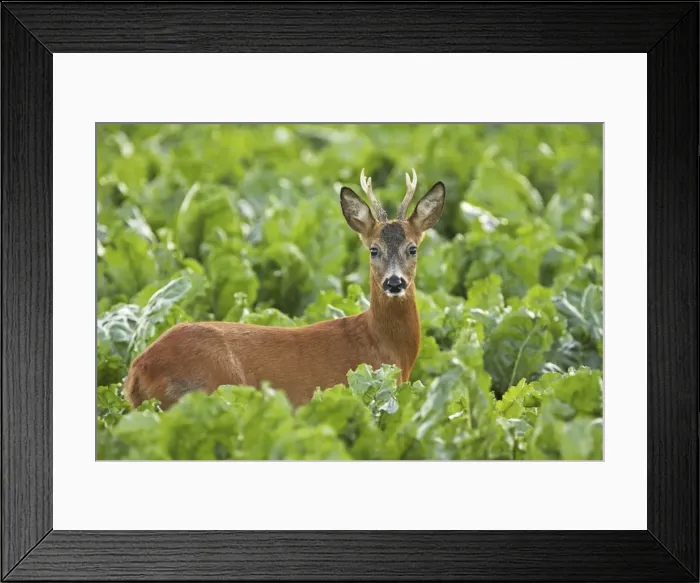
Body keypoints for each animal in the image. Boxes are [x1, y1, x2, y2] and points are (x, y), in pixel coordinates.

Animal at [123, 169, 446, 410]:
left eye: (413, 248)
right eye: (374, 250)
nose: (394, 282)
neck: (383, 344)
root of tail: (137, 370)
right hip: (206, 388)